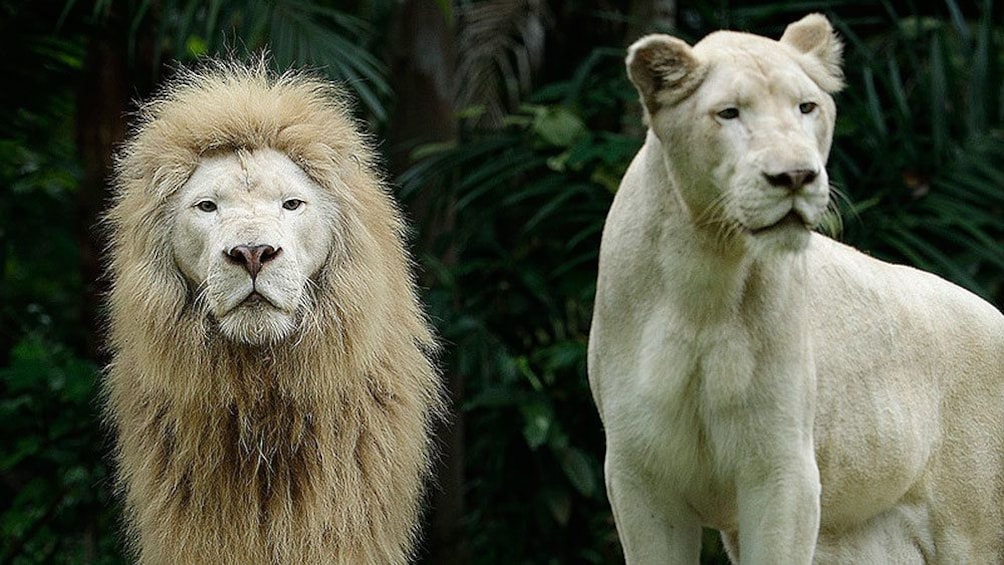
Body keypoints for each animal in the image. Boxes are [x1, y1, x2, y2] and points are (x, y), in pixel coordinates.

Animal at [586, 13, 1003, 565]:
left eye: (806, 107)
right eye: (729, 113)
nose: (796, 176)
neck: (706, 279)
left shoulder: (781, 467)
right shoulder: (641, 475)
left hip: (972, 528)